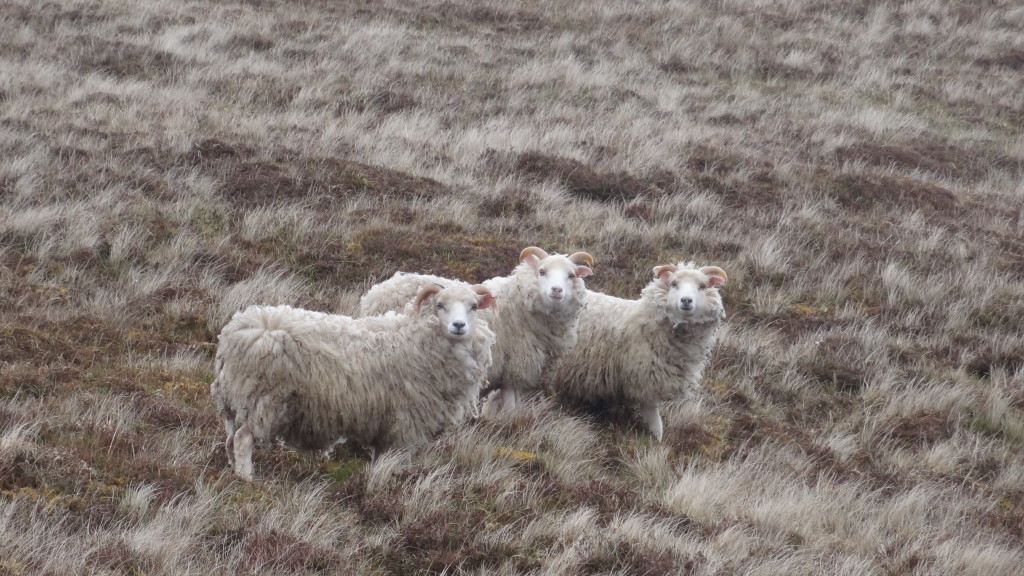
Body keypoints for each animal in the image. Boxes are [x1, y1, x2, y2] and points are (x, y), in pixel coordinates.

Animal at [209, 280, 497, 477]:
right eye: (440, 305)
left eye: (473, 307)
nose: (458, 326)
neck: (417, 338)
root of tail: (239, 330)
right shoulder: (405, 421)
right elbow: (398, 460)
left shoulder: (387, 425)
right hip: (263, 401)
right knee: (243, 440)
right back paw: (248, 480)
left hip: (239, 402)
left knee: (230, 440)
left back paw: (233, 473)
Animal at [360, 245, 598, 412]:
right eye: (542, 271)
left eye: (571, 275)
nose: (557, 290)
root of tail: (375, 293)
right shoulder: (513, 366)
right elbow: (510, 407)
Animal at [552, 261, 729, 438]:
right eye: (673, 284)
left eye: (702, 286)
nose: (686, 300)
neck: (647, 322)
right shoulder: (643, 378)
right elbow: (654, 416)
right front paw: (657, 438)